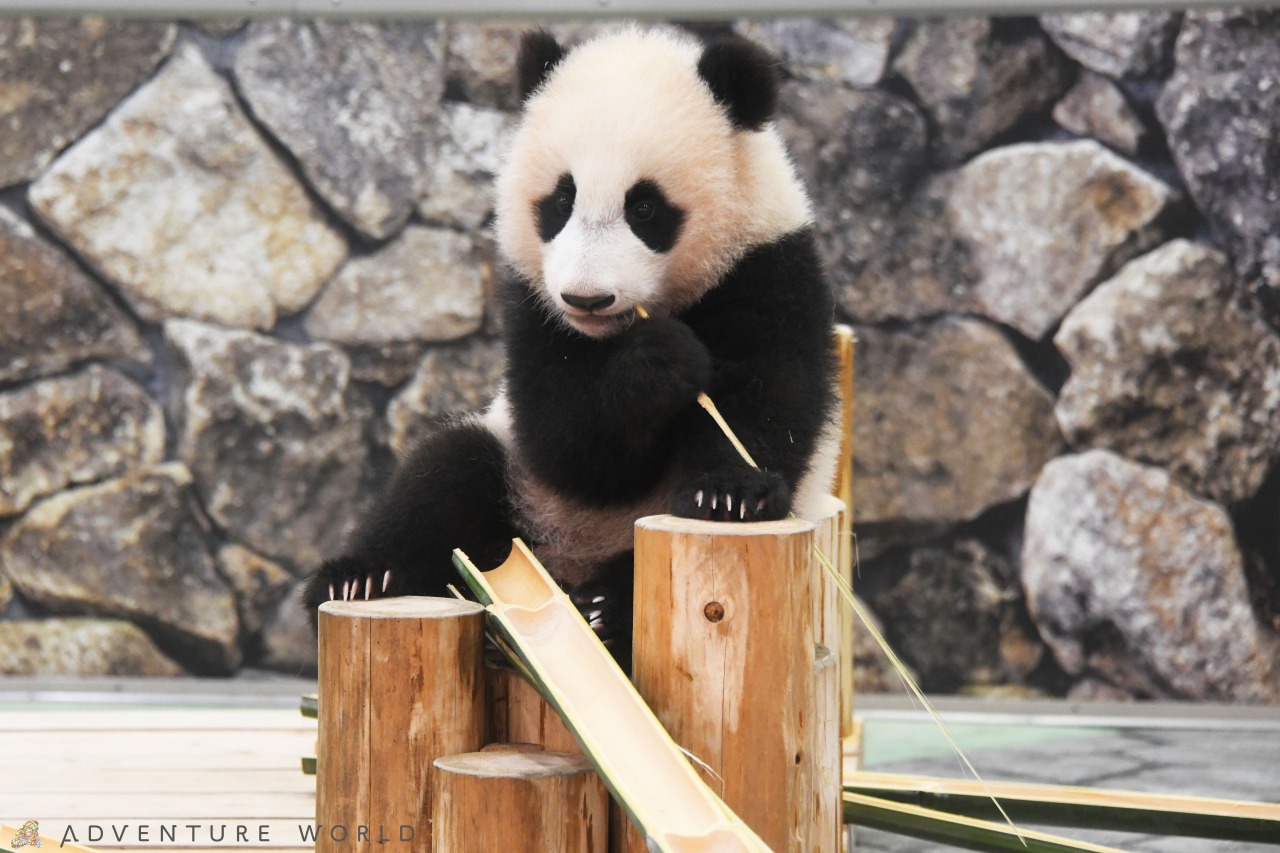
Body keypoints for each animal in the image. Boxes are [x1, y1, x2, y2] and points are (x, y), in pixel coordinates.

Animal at [300, 26, 839, 655]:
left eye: (645, 207)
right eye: (560, 202)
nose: (586, 298)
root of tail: (558, 572)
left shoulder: (771, 270)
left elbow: (767, 398)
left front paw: (730, 495)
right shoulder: (533, 310)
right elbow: (572, 450)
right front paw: (658, 363)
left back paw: (604, 608)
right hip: (518, 489)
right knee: (443, 476)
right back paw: (359, 580)